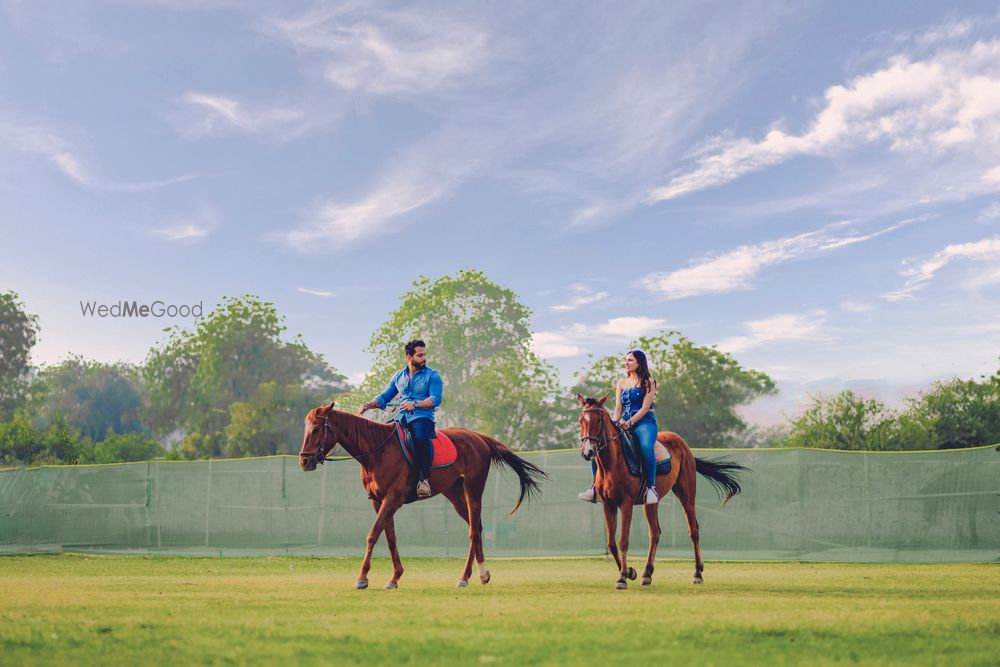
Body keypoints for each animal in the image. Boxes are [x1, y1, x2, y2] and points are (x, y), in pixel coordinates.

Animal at [296, 402, 548, 588]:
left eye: (316, 429)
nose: (304, 461)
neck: (377, 451)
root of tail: (478, 437)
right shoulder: (378, 502)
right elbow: (390, 537)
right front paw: (395, 577)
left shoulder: (392, 500)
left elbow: (372, 534)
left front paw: (362, 578)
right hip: (455, 494)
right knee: (476, 527)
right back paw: (482, 573)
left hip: (474, 490)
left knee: (473, 530)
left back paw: (465, 577)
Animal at [576, 394, 748, 592]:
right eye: (581, 420)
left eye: (599, 420)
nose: (588, 452)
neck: (613, 462)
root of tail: (683, 444)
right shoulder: (608, 505)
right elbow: (611, 544)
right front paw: (630, 572)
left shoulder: (626, 504)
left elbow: (623, 540)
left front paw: (622, 578)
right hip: (651, 502)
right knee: (655, 533)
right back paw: (647, 573)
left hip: (687, 494)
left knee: (693, 530)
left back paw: (697, 573)